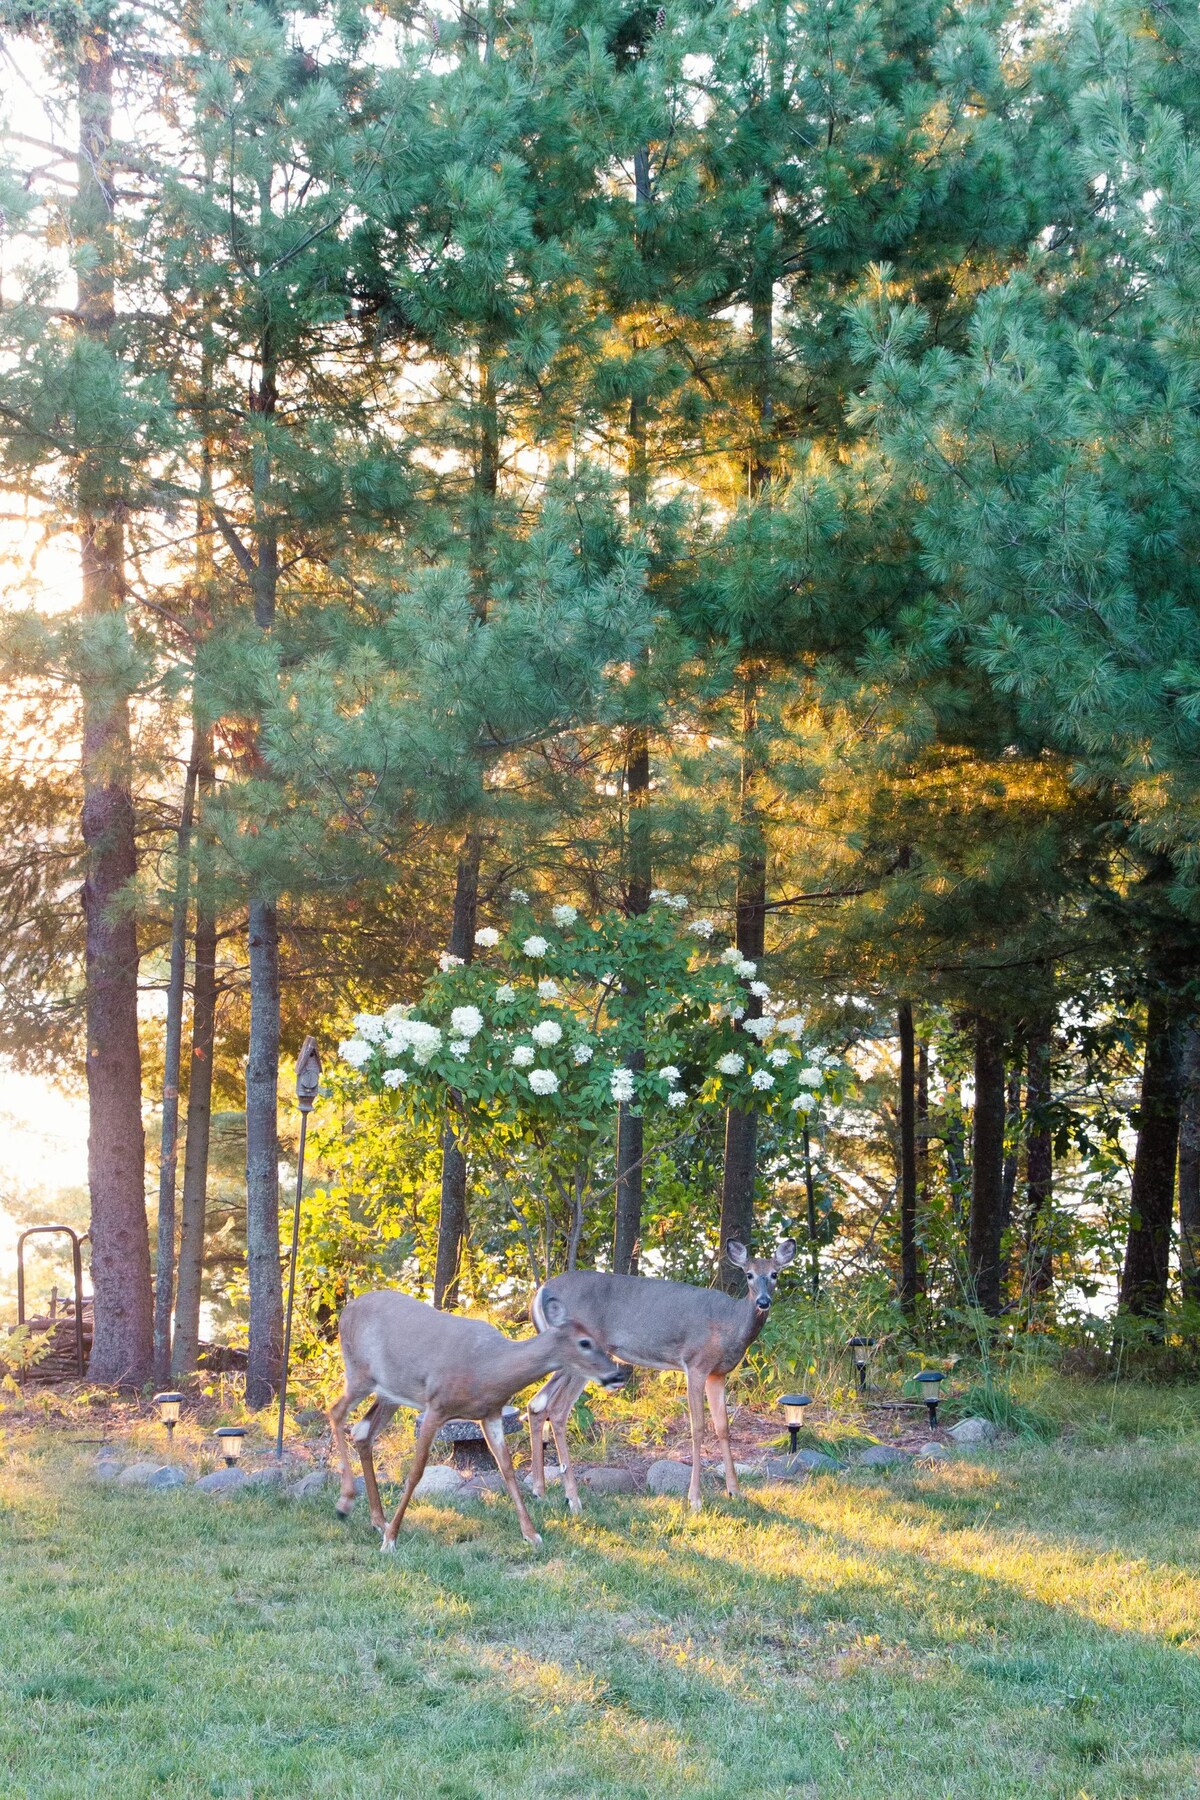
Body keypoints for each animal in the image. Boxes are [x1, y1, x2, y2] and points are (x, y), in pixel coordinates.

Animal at [329, 1288, 629, 1555]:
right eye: (585, 1342)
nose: (617, 1375)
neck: (489, 1369)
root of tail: (346, 1312)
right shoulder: (436, 1407)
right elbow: (415, 1473)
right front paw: (391, 1540)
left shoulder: (491, 1414)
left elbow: (507, 1470)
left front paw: (532, 1535)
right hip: (359, 1373)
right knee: (335, 1411)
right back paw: (346, 1504)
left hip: (390, 1394)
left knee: (362, 1431)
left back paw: (378, 1521)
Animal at [528, 1231, 798, 1512]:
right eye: (749, 1274)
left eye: (775, 1274)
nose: (763, 1302)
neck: (730, 1324)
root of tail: (540, 1292)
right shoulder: (696, 1363)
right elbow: (698, 1427)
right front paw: (695, 1499)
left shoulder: (718, 1373)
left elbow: (723, 1427)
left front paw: (735, 1492)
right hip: (580, 1358)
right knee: (557, 1410)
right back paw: (573, 1499)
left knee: (537, 1404)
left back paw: (540, 1491)